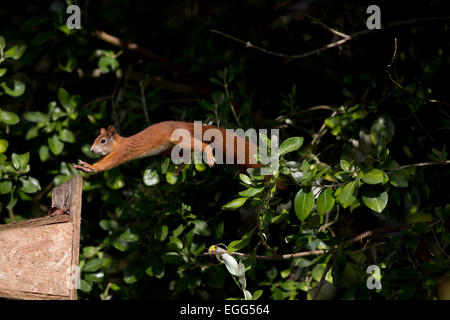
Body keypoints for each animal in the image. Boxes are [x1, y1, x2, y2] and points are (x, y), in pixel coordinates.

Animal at [73, 120, 264, 175]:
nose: (92, 150)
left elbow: (108, 162)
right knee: (186, 155)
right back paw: (180, 167)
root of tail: (183, 124)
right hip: (168, 149)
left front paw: (89, 167)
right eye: (96, 139)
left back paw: (208, 155)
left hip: (178, 138)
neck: (121, 142)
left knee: (201, 145)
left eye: (103, 141)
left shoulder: (122, 152)